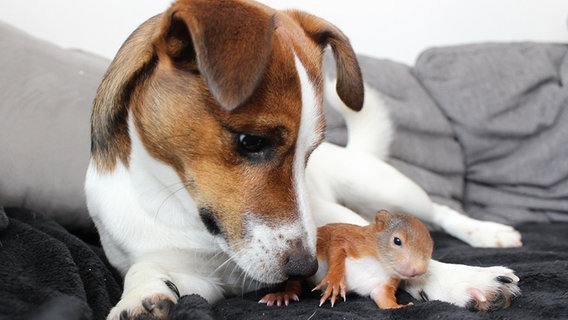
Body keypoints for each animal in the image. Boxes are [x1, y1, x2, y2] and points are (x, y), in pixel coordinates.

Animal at [260, 209, 432, 308]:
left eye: (431, 249)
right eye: (397, 240)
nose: (418, 270)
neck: (380, 264)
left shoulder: (383, 284)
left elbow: (384, 300)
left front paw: (401, 306)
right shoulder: (351, 240)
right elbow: (336, 249)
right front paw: (335, 280)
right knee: (294, 285)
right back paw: (284, 295)